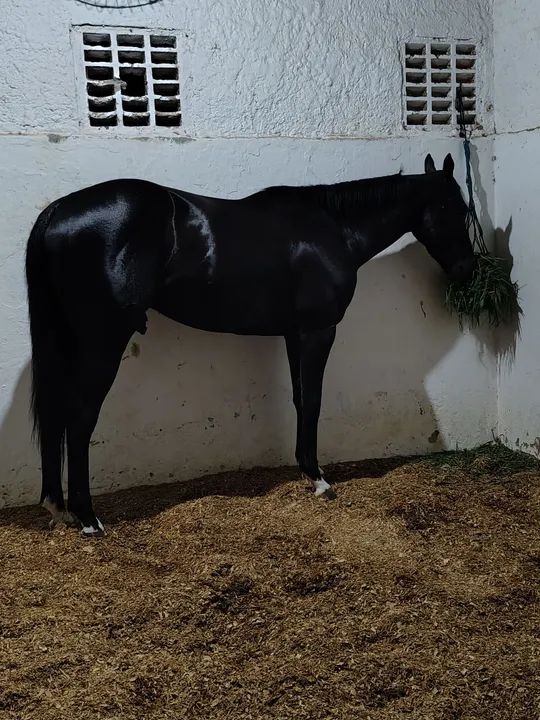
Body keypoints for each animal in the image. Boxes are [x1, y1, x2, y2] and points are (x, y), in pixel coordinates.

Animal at [25, 152, 474, 535]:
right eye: (457, 209)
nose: (466, 269)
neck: (333, 229)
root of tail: (58, 211)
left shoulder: (295, 333)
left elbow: (299, 398)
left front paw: (306, 471)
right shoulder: (318, 330)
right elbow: (314, 399)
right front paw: (320, 480)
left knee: (57, 416)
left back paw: (61, 508)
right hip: (101, 343)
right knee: (79, 418)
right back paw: (88, 518)